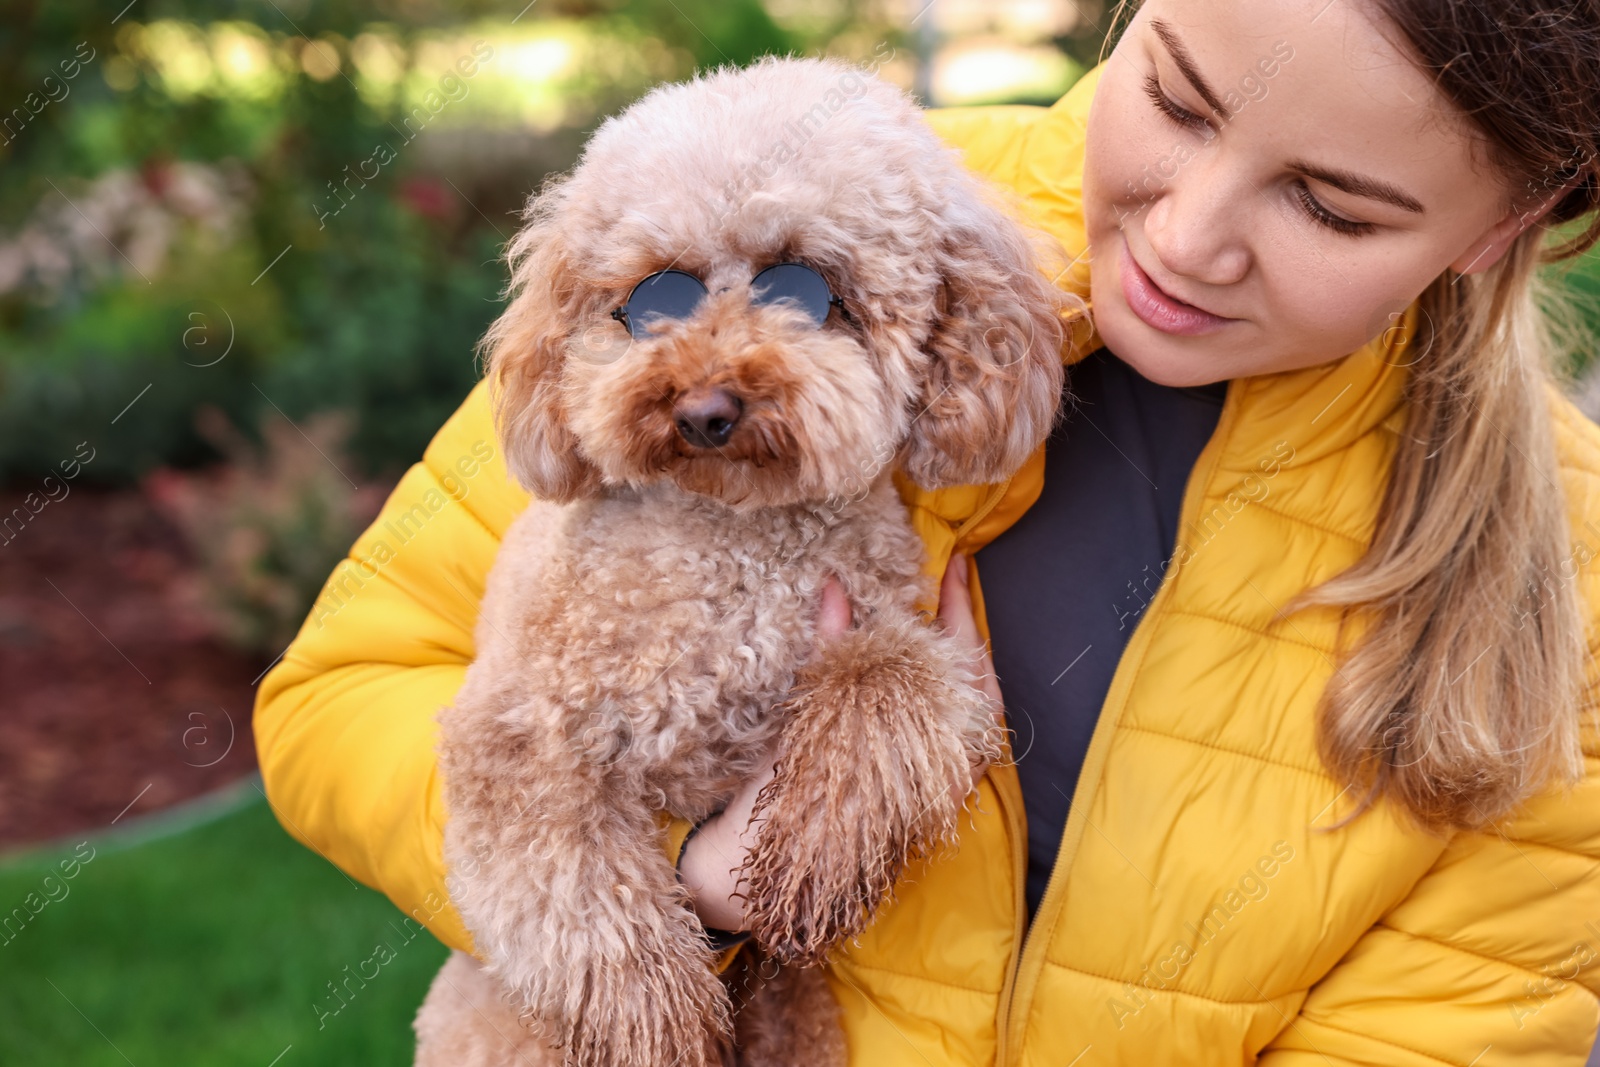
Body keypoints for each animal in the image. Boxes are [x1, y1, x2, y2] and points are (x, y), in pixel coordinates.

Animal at [412, 56, 1068, 1067]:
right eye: (659, 294)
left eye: (803, 285)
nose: (704, 408)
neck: (737, 543)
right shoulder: (516, 724)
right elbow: (571, 875)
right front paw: (649, 1010)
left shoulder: (895, 629)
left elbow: (891, 685)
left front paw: (815, 846)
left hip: (794, 1010)